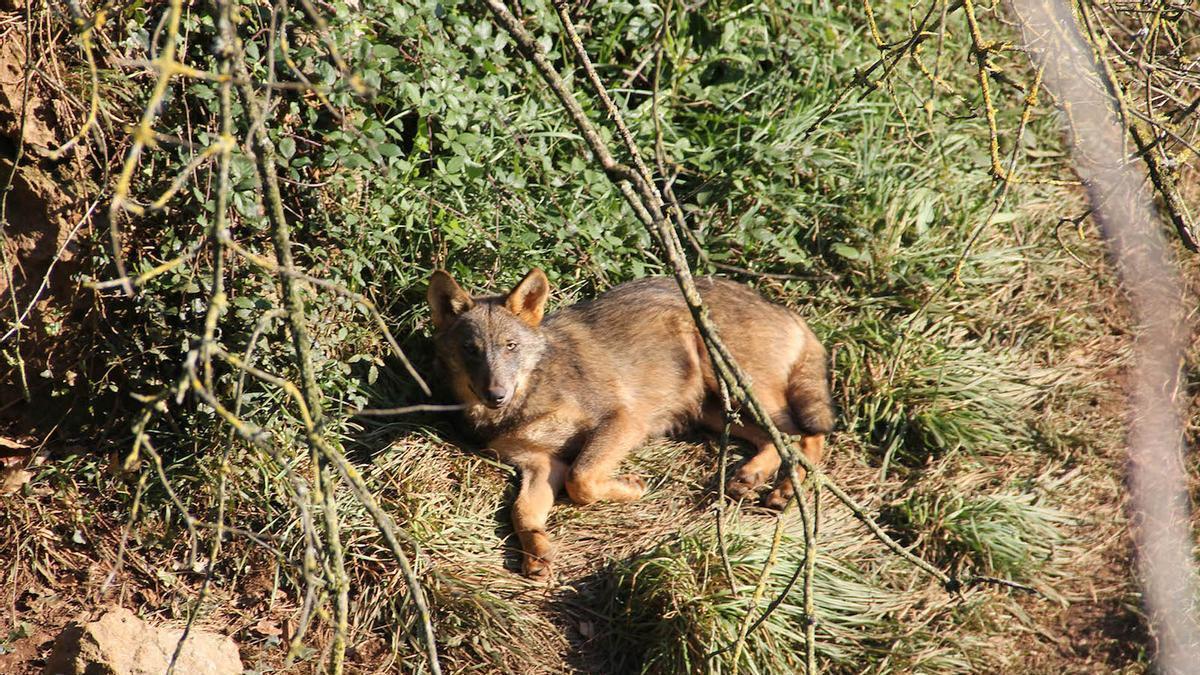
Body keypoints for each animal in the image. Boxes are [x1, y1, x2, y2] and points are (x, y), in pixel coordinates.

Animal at [427, 269, 834, 579]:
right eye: (471, 350)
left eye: (510, 346)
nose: (495, 394)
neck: (529, 397)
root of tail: (786, 310)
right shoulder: (541, 464)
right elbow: (523, 513)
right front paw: (537, 553)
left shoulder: (622, 420)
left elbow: (581, 481)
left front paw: (633, 488)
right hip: (716, 411)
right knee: (775, 440)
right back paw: (748, 478)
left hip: (739, 389)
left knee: (804, 438)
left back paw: (785, 491)